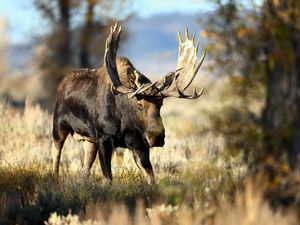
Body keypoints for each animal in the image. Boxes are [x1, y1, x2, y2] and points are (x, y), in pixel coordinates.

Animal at [52, 23, 206, 184]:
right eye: (139, 104)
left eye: (161, 104)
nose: (157, 136)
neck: (124, 120)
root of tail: (62, 83)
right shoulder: (103, 139)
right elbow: (108, 177)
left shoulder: (139, 144)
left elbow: (150, 176)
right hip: (59, 126)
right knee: (56, 156)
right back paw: (54, 178)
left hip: (89, 140)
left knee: (85, 169)